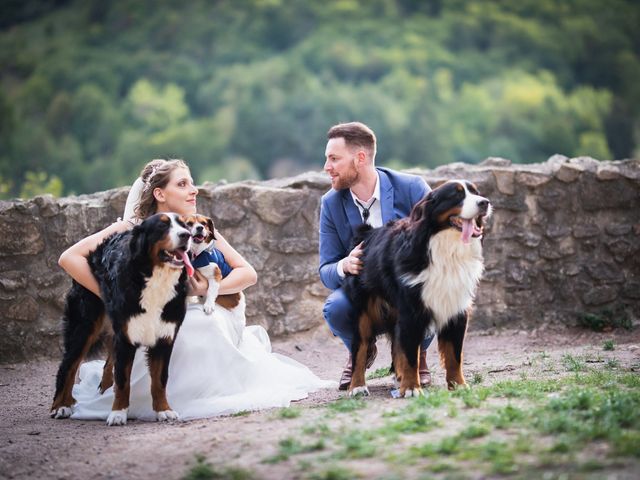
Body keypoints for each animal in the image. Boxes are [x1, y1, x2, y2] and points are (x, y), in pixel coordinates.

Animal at [51, 212, 192, 426]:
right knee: (69, 365)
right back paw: (60, 406)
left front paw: (163, 410)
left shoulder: (164, 337)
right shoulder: (126, 339)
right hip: (84, 326)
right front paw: (118, 413)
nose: (186, 235)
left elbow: (160, 379)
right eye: (162, 227)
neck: (156, 279)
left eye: (184, 225)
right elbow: (123, 379)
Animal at [344, 180, 490, 398]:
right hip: (364, 311)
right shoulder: (412, 311)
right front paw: (412, 388)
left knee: (397, 346)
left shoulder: (456, 308)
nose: (485, 202)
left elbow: (454, 354)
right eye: (456, 195)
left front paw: (458, 385)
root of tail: (367, 233)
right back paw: (357, 386)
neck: (447, 249)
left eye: (476, 192)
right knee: (360, 348)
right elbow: (412, 355)